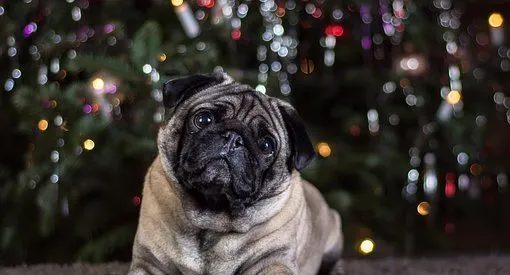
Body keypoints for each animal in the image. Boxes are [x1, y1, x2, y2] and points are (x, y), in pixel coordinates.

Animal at [127, 72, 344, 274]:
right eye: (203, 119)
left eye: (266, 145)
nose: (233, 138)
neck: (211, 217)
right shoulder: (148, 263)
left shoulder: (273, 261)